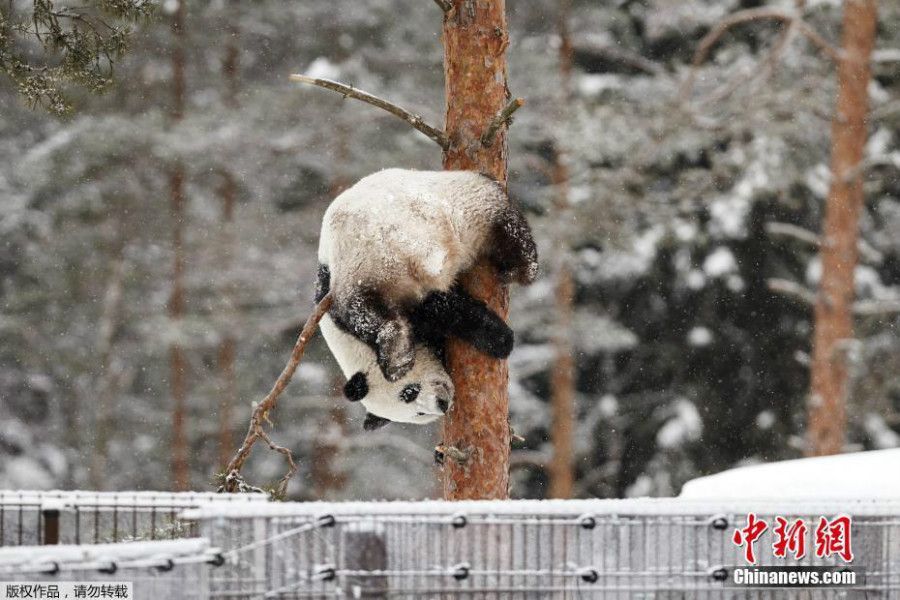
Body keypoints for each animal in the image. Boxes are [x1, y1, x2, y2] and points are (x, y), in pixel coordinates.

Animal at [312, 169, 536, 428]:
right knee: (505, 229)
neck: (352, 348)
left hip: (357, 266)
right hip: (461, 211)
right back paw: (520, 271)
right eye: (418, 413)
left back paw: (396, 359)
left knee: (367, 312)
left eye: (410, 392)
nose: (442, 405)